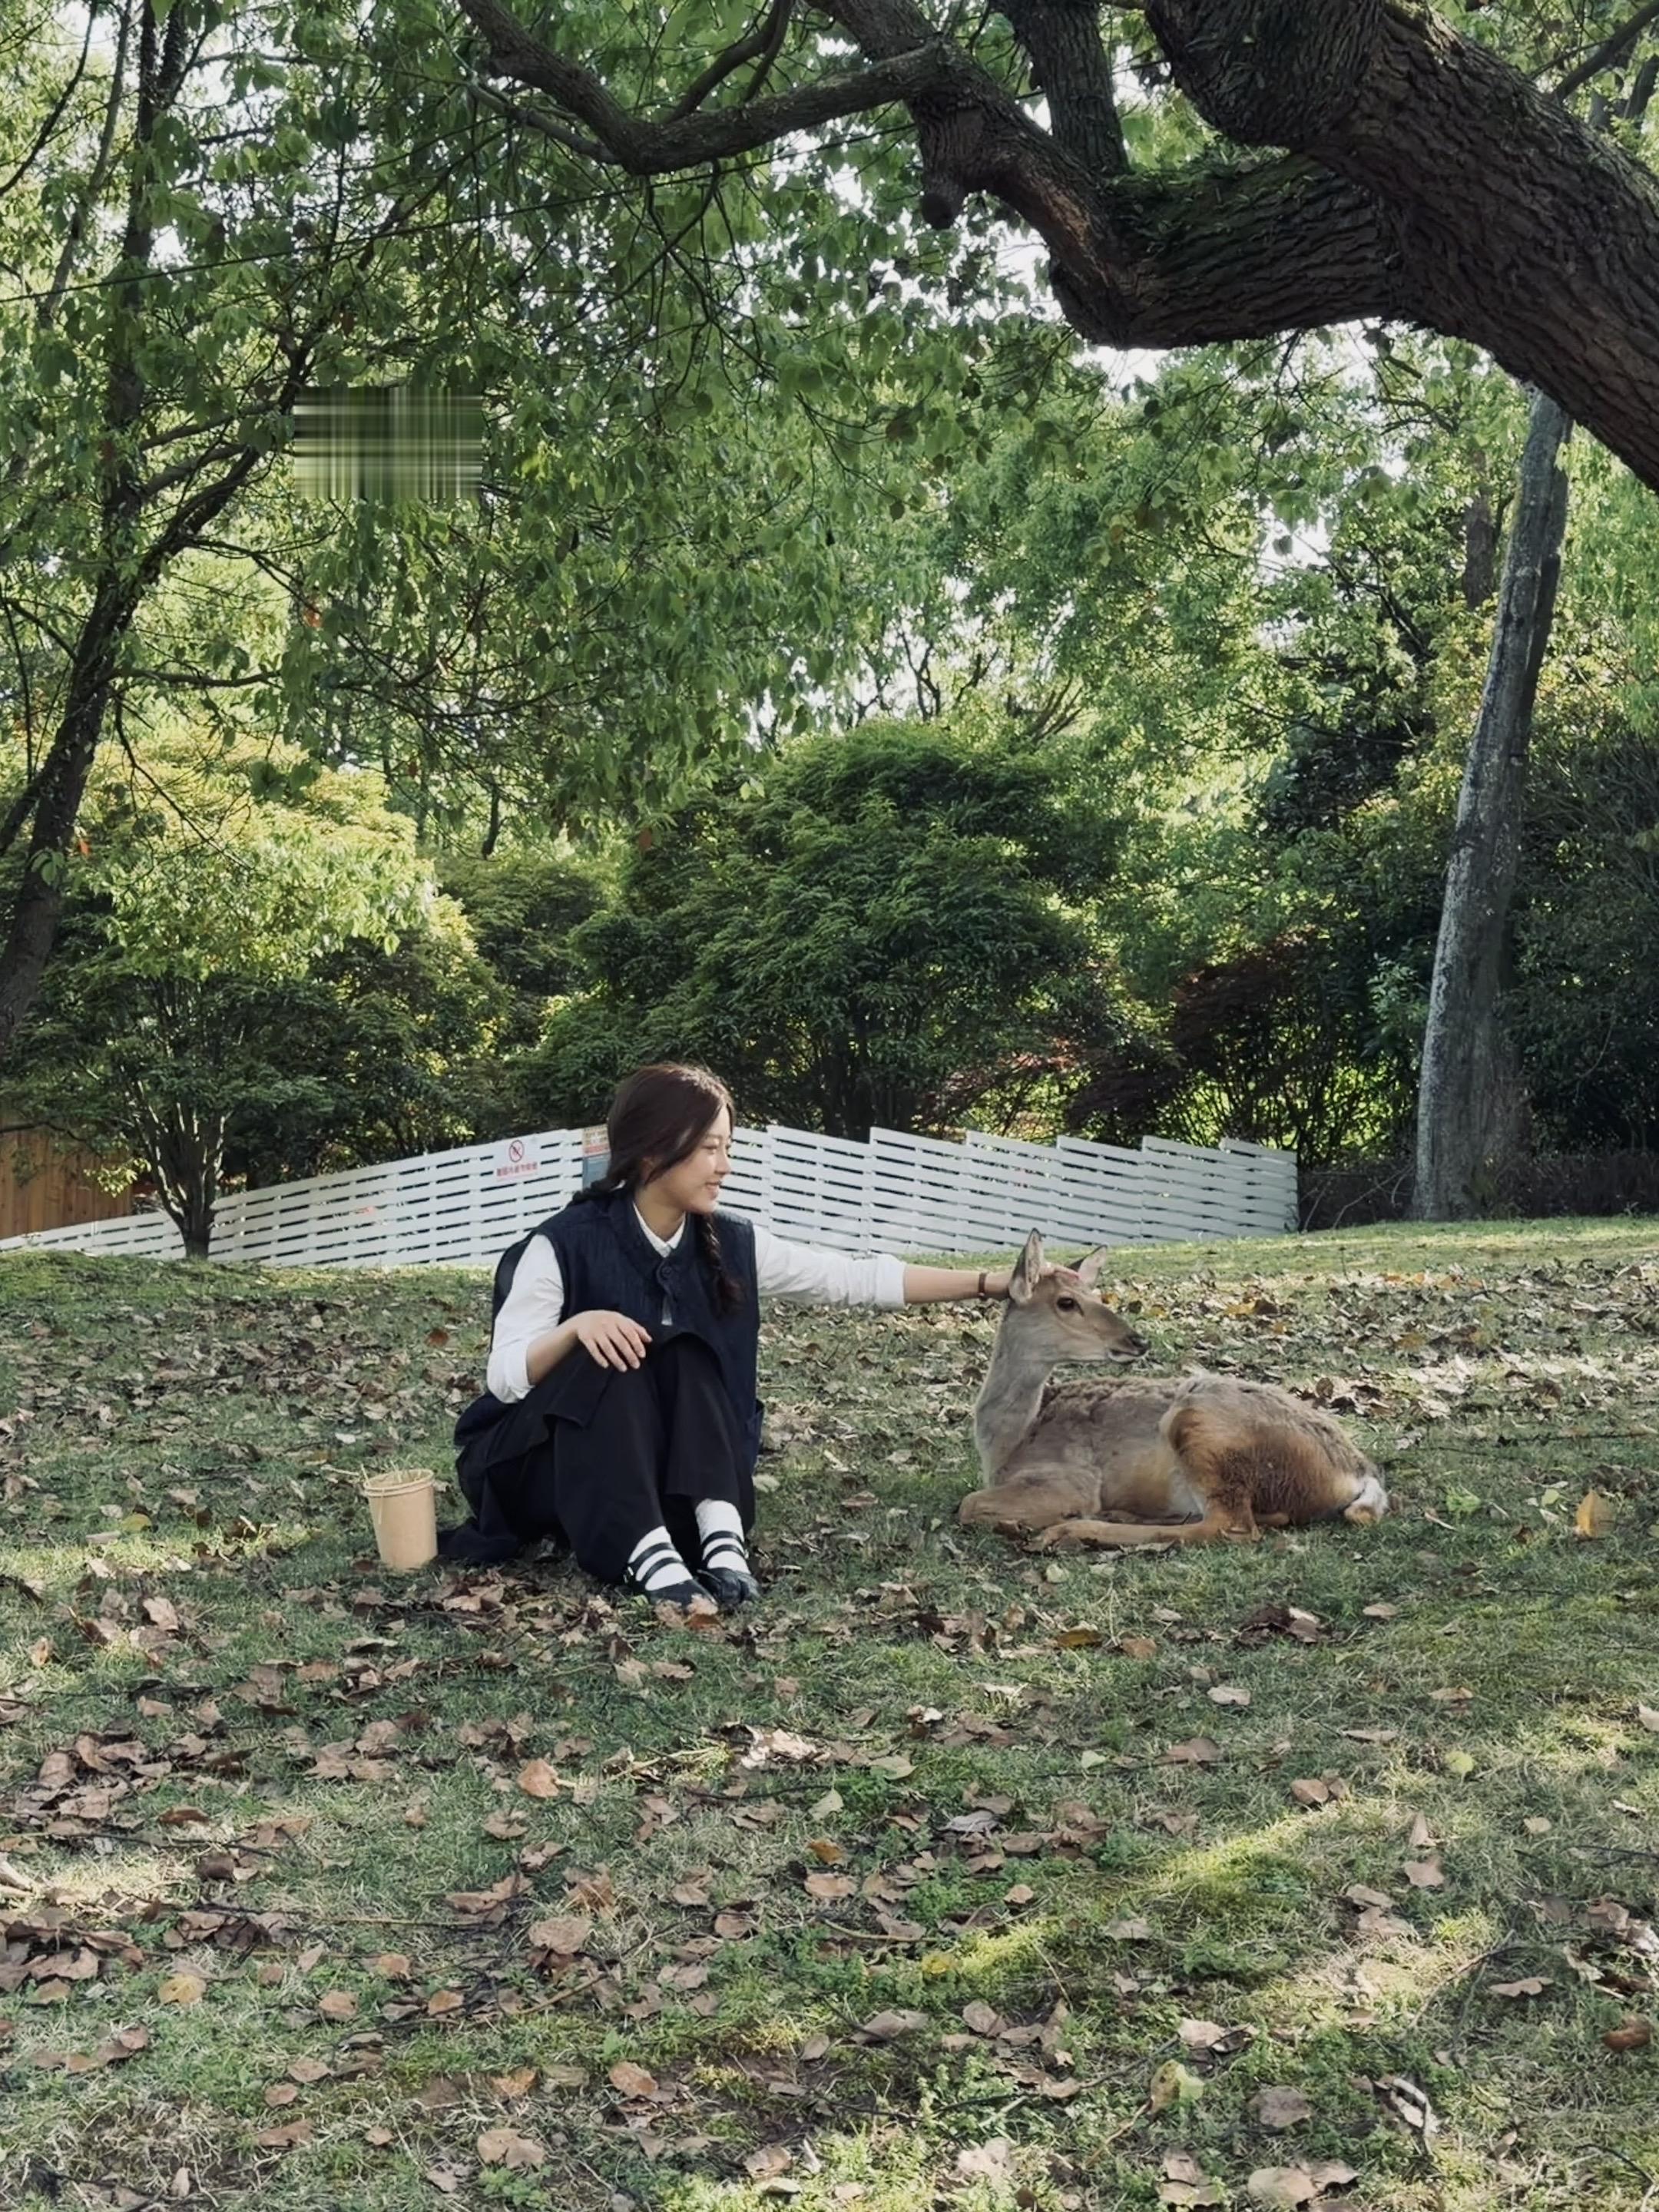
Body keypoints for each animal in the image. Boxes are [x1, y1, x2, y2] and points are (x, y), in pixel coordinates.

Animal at [959, 1231, 1389, 1549]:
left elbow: (967, 1503)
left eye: (1094, 1296)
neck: (1009, 1444)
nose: (1137, 1340)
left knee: (1230, 1525)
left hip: (1203, 1426)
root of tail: (1359, 1473)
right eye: (1066, 1302)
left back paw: (1077, 1529)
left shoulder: (1070, 1478)